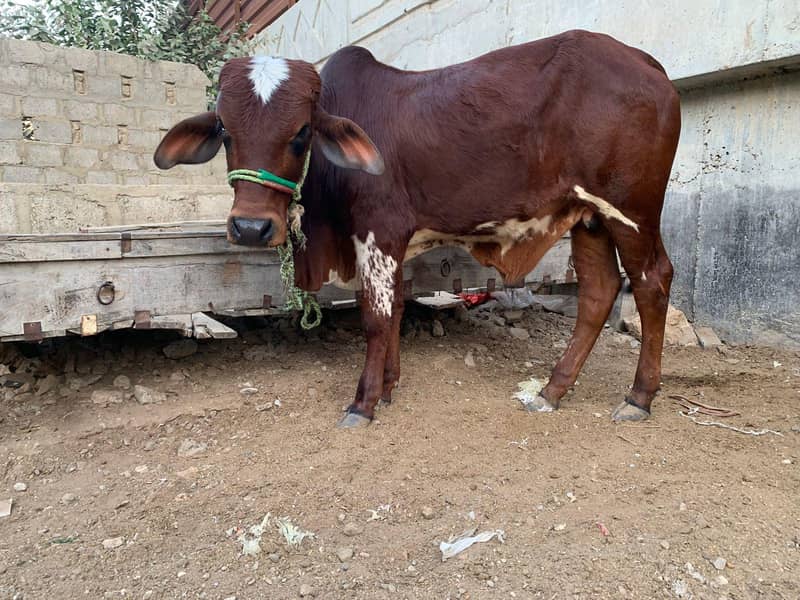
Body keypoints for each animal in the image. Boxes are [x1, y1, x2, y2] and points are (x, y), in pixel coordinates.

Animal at [154, 30, 681, 428]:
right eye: (225, 130)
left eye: (301, 132)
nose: (250, 227)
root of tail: (647, 62)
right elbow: (396, 309)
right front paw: (389, 385)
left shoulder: (379, 231)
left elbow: (375, 317)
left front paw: (364, 402)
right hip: (588, 216)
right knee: (598, 291)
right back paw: (552, 389)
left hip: (631, 211)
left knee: (652, 282)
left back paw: (638, 397)